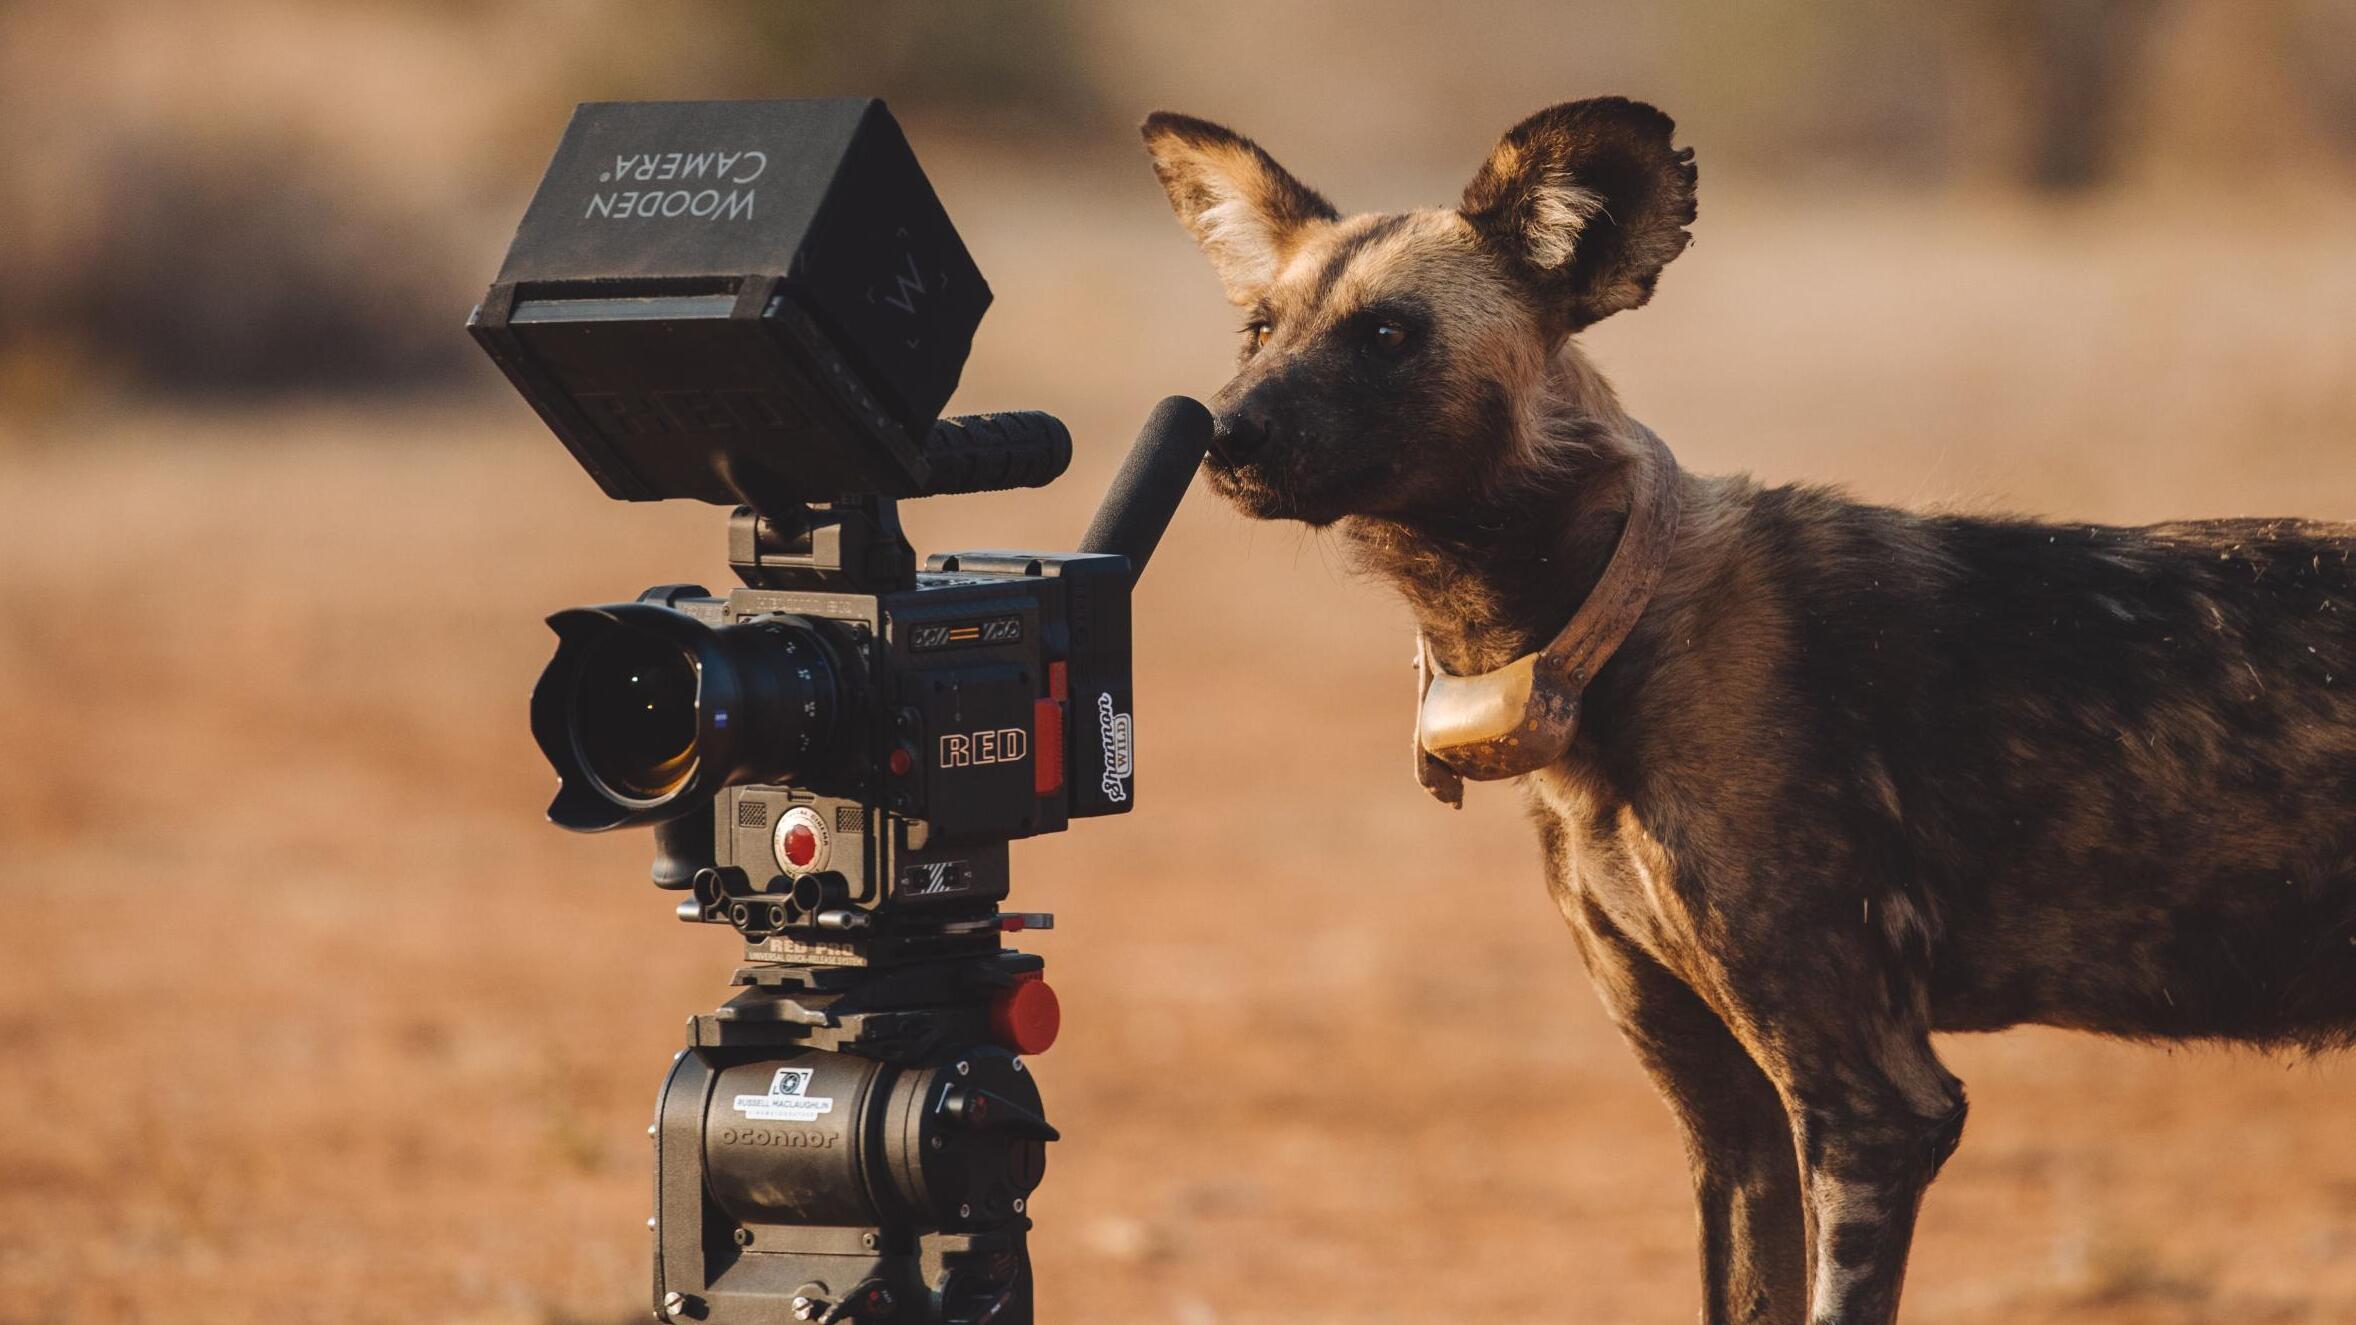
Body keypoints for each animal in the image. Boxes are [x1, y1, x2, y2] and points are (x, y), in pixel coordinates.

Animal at [1140, 97, 2356, 1310]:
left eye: (1390, 335)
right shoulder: (1732, 1121)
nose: (1220, 431)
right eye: (1258, 332)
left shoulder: (1872, 1107)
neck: (1604, 627)